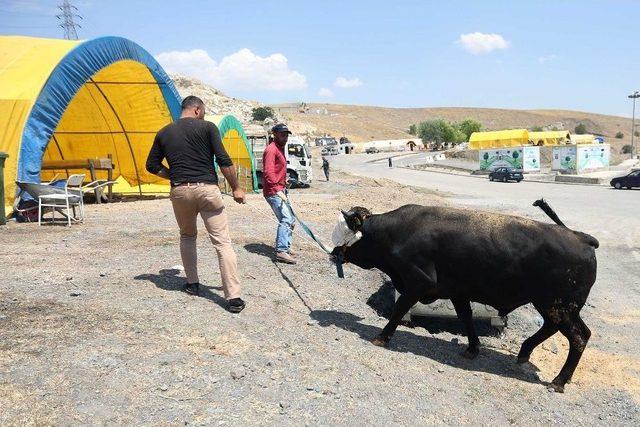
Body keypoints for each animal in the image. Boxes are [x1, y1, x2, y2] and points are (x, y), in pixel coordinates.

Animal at [332, 202, 596, 392]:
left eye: (344, 232)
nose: (334, 254)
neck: (396, 233)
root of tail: (579, 236)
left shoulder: (417, 283)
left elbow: (398, 310)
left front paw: (381, 337)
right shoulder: (457, 292)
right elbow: (466, 318)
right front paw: (472, 348)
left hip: (559, 306)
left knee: (578, 337)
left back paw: (559, 381)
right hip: (554, 306)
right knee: (556, 328)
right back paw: (524, 353)